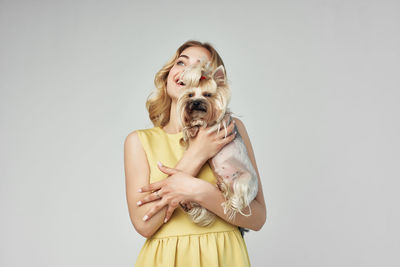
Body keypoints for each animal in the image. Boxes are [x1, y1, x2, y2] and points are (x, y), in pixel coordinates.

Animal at [176, 61, 258, 228]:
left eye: (208, 95)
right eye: (190, 95)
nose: (196, 102)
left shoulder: (220, 124)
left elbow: (206, 122)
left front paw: (196, 123)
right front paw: (189, 129)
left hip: (245, 181)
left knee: (238, 199)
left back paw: (230, 201)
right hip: (209, 195)